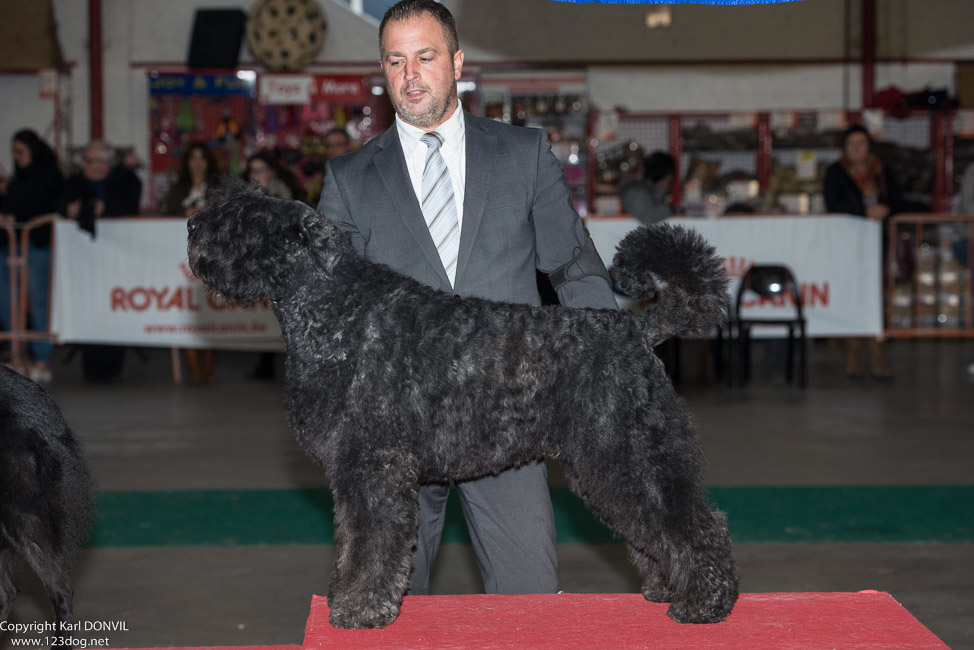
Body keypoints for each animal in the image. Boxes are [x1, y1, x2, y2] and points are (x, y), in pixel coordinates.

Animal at [189, 184, 740, 628]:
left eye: (245, 217)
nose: (193, 224)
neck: (337, 313)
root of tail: (637, 328)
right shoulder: (355, 473)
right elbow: (350, 540)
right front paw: (347, 596)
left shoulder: (372, 466)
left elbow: (372, 542)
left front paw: (360, 609)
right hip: (609, 465)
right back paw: (668, 586)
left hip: (629, 455)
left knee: (696, 522)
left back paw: (705, 603)